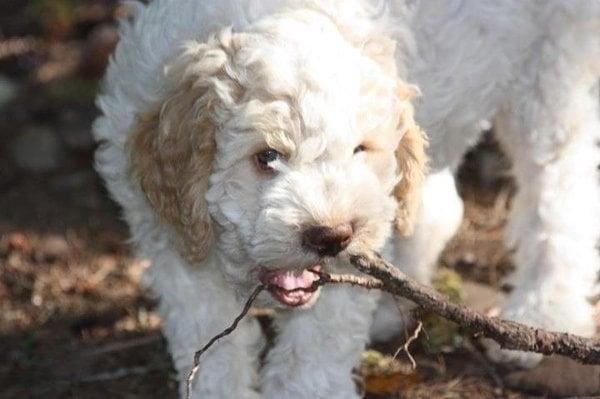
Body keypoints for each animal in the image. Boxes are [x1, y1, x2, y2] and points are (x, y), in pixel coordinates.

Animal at [94, 0, 600, 398]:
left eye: (359, 150)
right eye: (266, 156)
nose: (331, 235)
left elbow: (313, 356)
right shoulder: (176, 251)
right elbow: (211, 352)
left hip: (554, 74)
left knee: (560, 196)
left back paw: (543, 308)